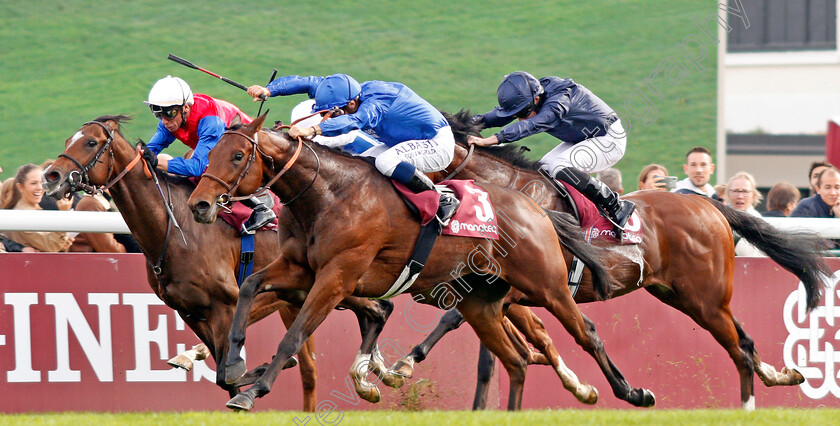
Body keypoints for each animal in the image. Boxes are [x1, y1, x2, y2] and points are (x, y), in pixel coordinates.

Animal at [41, 115, 394, 412]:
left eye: (90, 142)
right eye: (68, 139)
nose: (51, 176)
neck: (176, 229)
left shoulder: (227, 303)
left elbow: (226, 371)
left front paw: (252, 372)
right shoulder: (190, 310)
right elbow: (223, 375)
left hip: (324, 280)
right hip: (310, 289)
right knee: (361, 322)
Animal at [189, 113, 656, 410]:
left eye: (237, 156)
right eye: (209, 152)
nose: (199, 205)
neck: (328, 194)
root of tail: (536, 207)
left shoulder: (338, 276)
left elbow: (296, 334)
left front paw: (252, 390)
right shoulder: (298, 269)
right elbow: (250, 289)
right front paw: (233, 365)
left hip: (547, 286)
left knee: (586, 333)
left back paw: (633, 393)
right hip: (481, 301)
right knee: (516, 359)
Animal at [388, 110, 832, 410]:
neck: (508, 192)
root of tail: (708, 203)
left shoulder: (523, 288)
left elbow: (456, 319)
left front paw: (403, 365)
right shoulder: (512, 292)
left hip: (704, 298)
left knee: (738, 348)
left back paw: (748, 405)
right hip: (684, 296)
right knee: (745, 340)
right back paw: (780, 374)